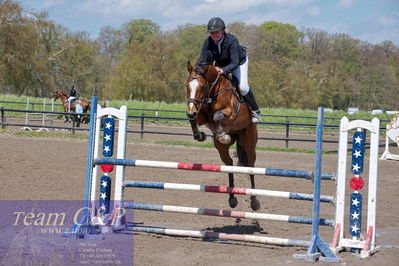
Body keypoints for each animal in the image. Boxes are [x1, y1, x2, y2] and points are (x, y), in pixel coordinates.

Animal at [186, 61, 260, 211]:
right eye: (186, 85)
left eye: (202, 87)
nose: (190, 111)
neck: (213, 91)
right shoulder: (200, 113)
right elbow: (195, 120)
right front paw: (199, 135)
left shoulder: (230, 113)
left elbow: (217, 115)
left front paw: (222, 134)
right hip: (222, 149)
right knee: (229, 164)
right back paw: (232, 198)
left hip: (249, 142)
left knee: (251, 166)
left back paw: (254, 201)